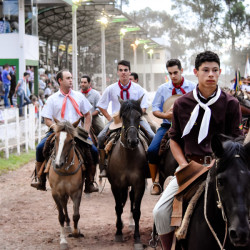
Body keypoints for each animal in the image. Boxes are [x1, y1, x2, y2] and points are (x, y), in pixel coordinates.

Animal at [47, 119, 85, 250]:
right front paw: (63, 240)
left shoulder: (77, 192)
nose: (58, 163)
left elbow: (76, 215)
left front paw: (76, 232)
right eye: (56, 138)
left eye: (71, 140)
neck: (64, 171)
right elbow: (61, 216)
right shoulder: (55, 193)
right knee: (64, 207)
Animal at [108, 96, 148, 250]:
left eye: (138, 117)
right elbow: (118, 208)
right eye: (123, 117)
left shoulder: (139, 185)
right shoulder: (116, 185)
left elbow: (137, 211)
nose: (132, 141)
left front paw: (137, 237)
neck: (128, 157)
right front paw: (118, 232)